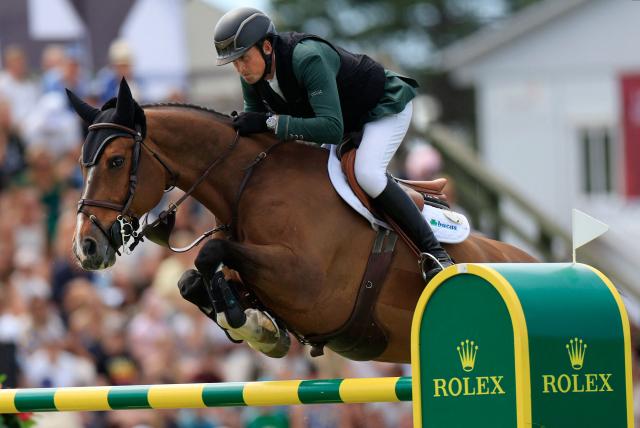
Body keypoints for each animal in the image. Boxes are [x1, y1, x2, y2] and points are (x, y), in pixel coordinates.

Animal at [69, 79, 536, 364]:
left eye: (114, 161)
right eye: (81, 163)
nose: (85, 248)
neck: (248, 184)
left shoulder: (306, 281)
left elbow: (210, 253)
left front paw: (247, 322)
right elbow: (191, 279)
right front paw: (259, 326)